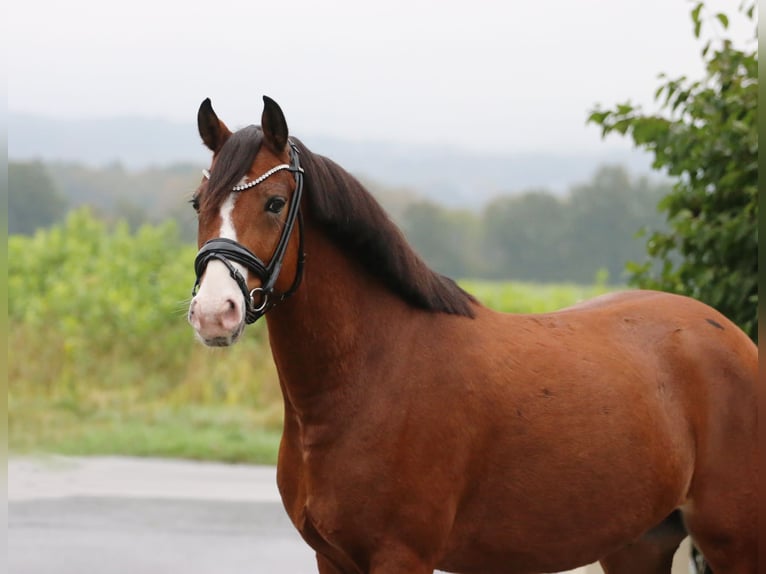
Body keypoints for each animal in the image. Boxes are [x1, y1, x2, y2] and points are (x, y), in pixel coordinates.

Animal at [187, 96, 757, 574]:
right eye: (198, 202)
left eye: (276, 202)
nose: (215, 311)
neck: (371, 374)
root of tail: (738, 341)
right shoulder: (332, 559)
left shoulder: (402, 556)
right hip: (638, 544)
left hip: (735, 543)